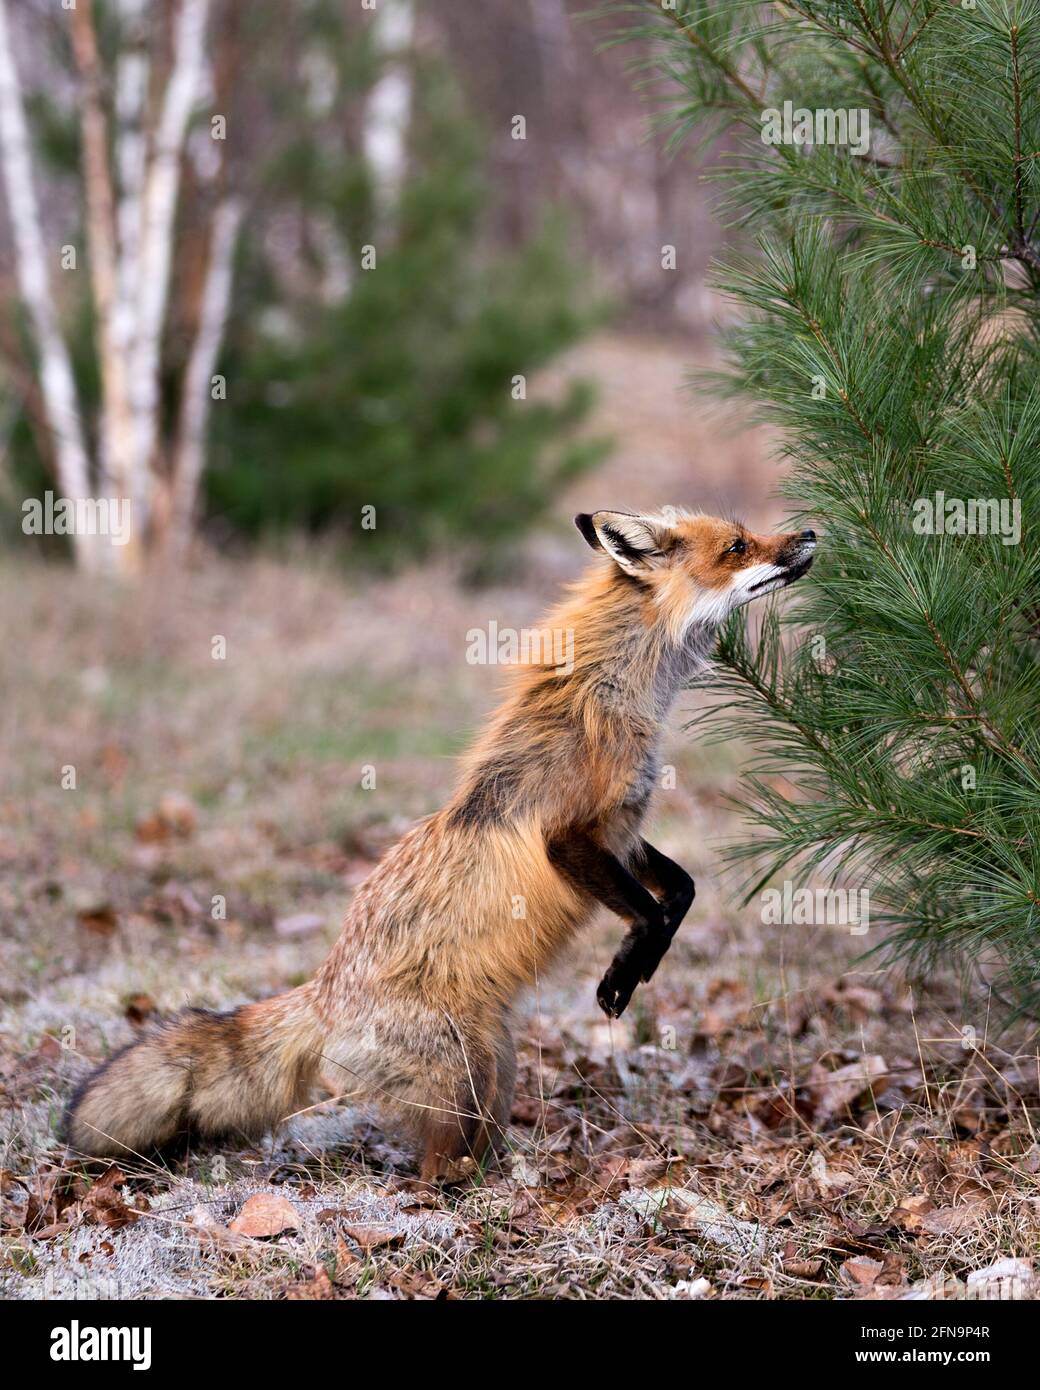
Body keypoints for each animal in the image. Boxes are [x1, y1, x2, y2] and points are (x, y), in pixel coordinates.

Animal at [65, 517, 817, 1178]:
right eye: (738, 544)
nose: (809, 534)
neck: (615, 690)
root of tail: (325, 992)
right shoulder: (570, 834)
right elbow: (653, 911)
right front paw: (622, 976)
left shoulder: (622, 830)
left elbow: (681, 891)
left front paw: (638, 963)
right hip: (463, 1072)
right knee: (434, 1172)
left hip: (496, 1063)